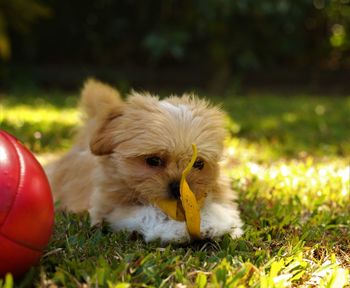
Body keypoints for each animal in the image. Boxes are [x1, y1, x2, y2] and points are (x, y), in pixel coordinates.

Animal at [45, 79, 243, 243]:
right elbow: (149, 212)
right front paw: (175, 229)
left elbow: (220, 208)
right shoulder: (110, 208)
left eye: (198, 164)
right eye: (153, 160)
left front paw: (214, 223)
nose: (177, 188)